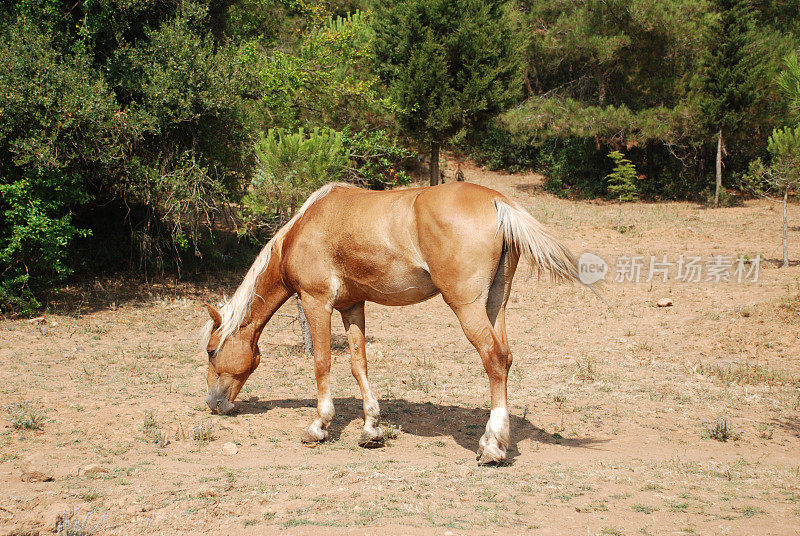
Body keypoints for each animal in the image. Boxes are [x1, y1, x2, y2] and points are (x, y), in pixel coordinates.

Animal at [203, 181, 580, 464]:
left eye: (210, 351)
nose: (212, 403)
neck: (306, 226)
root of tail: (497, 200)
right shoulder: (352, 306)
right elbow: (359, 365)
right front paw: (370, 429)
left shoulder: (316, 302)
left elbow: (322, 363)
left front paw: (318, 427)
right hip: (495, 304)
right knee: (506, 356)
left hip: (467, 306)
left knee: (494, 358)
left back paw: (492, 447)